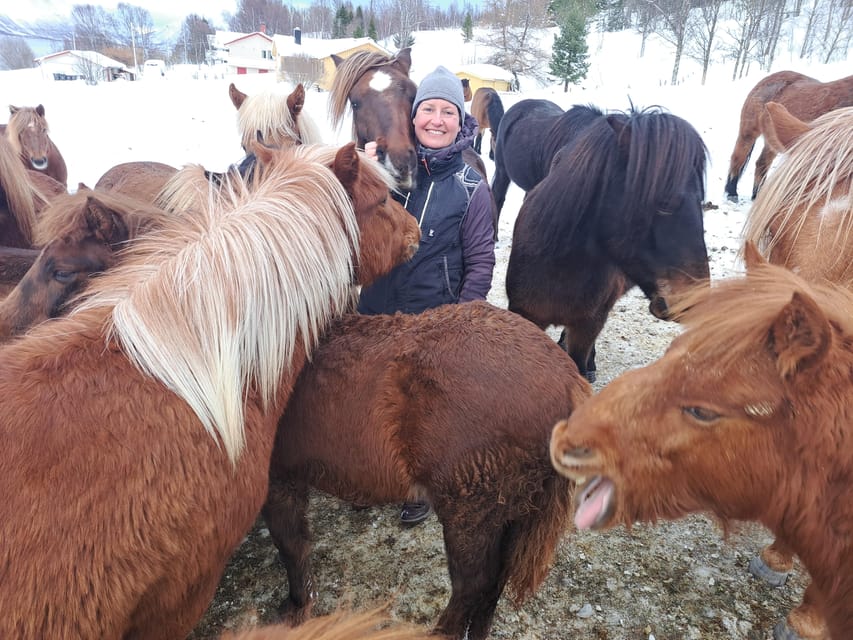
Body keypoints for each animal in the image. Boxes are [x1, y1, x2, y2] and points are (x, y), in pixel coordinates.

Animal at [262, 302, 588, 640]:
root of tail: (569, 380)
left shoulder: (277, 482)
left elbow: (291, 545)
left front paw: (296, 607)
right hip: (513, 511)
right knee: (494, 582)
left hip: (470, 513)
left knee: (473, 585)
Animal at [724, 69, 852, 200]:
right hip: (748, 132)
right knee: (738, 158)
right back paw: (732, 193)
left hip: (772, 141)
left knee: (761, 163)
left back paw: (757, 195)